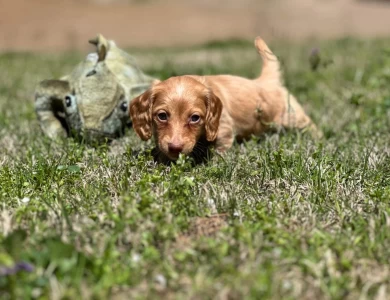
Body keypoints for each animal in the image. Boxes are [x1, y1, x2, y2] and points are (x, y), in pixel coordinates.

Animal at [129, 37, 318, 164]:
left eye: (195, 118)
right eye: (162, 116)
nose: (175, 148)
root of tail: (266, 81)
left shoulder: (224, 131)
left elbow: (218, 151)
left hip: (293, 117)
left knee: (311, 127)